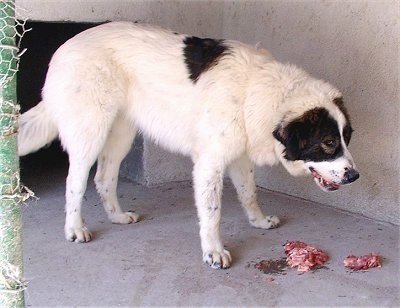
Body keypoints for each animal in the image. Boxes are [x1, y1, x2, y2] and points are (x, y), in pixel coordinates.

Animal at [18, 21, 360, 268]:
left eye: (347, 138)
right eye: (328, 142)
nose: (355, 176)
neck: (260, 92)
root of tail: (64, 47)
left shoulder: (238, 156)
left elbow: (249, 193)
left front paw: (259, 221)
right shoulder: (210, 163)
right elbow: (212, 212)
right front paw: (214, 251)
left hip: (121, 134)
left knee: (103, 178)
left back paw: (117, 216)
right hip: (91, 131)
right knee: (75, 182)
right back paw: (75, 228)